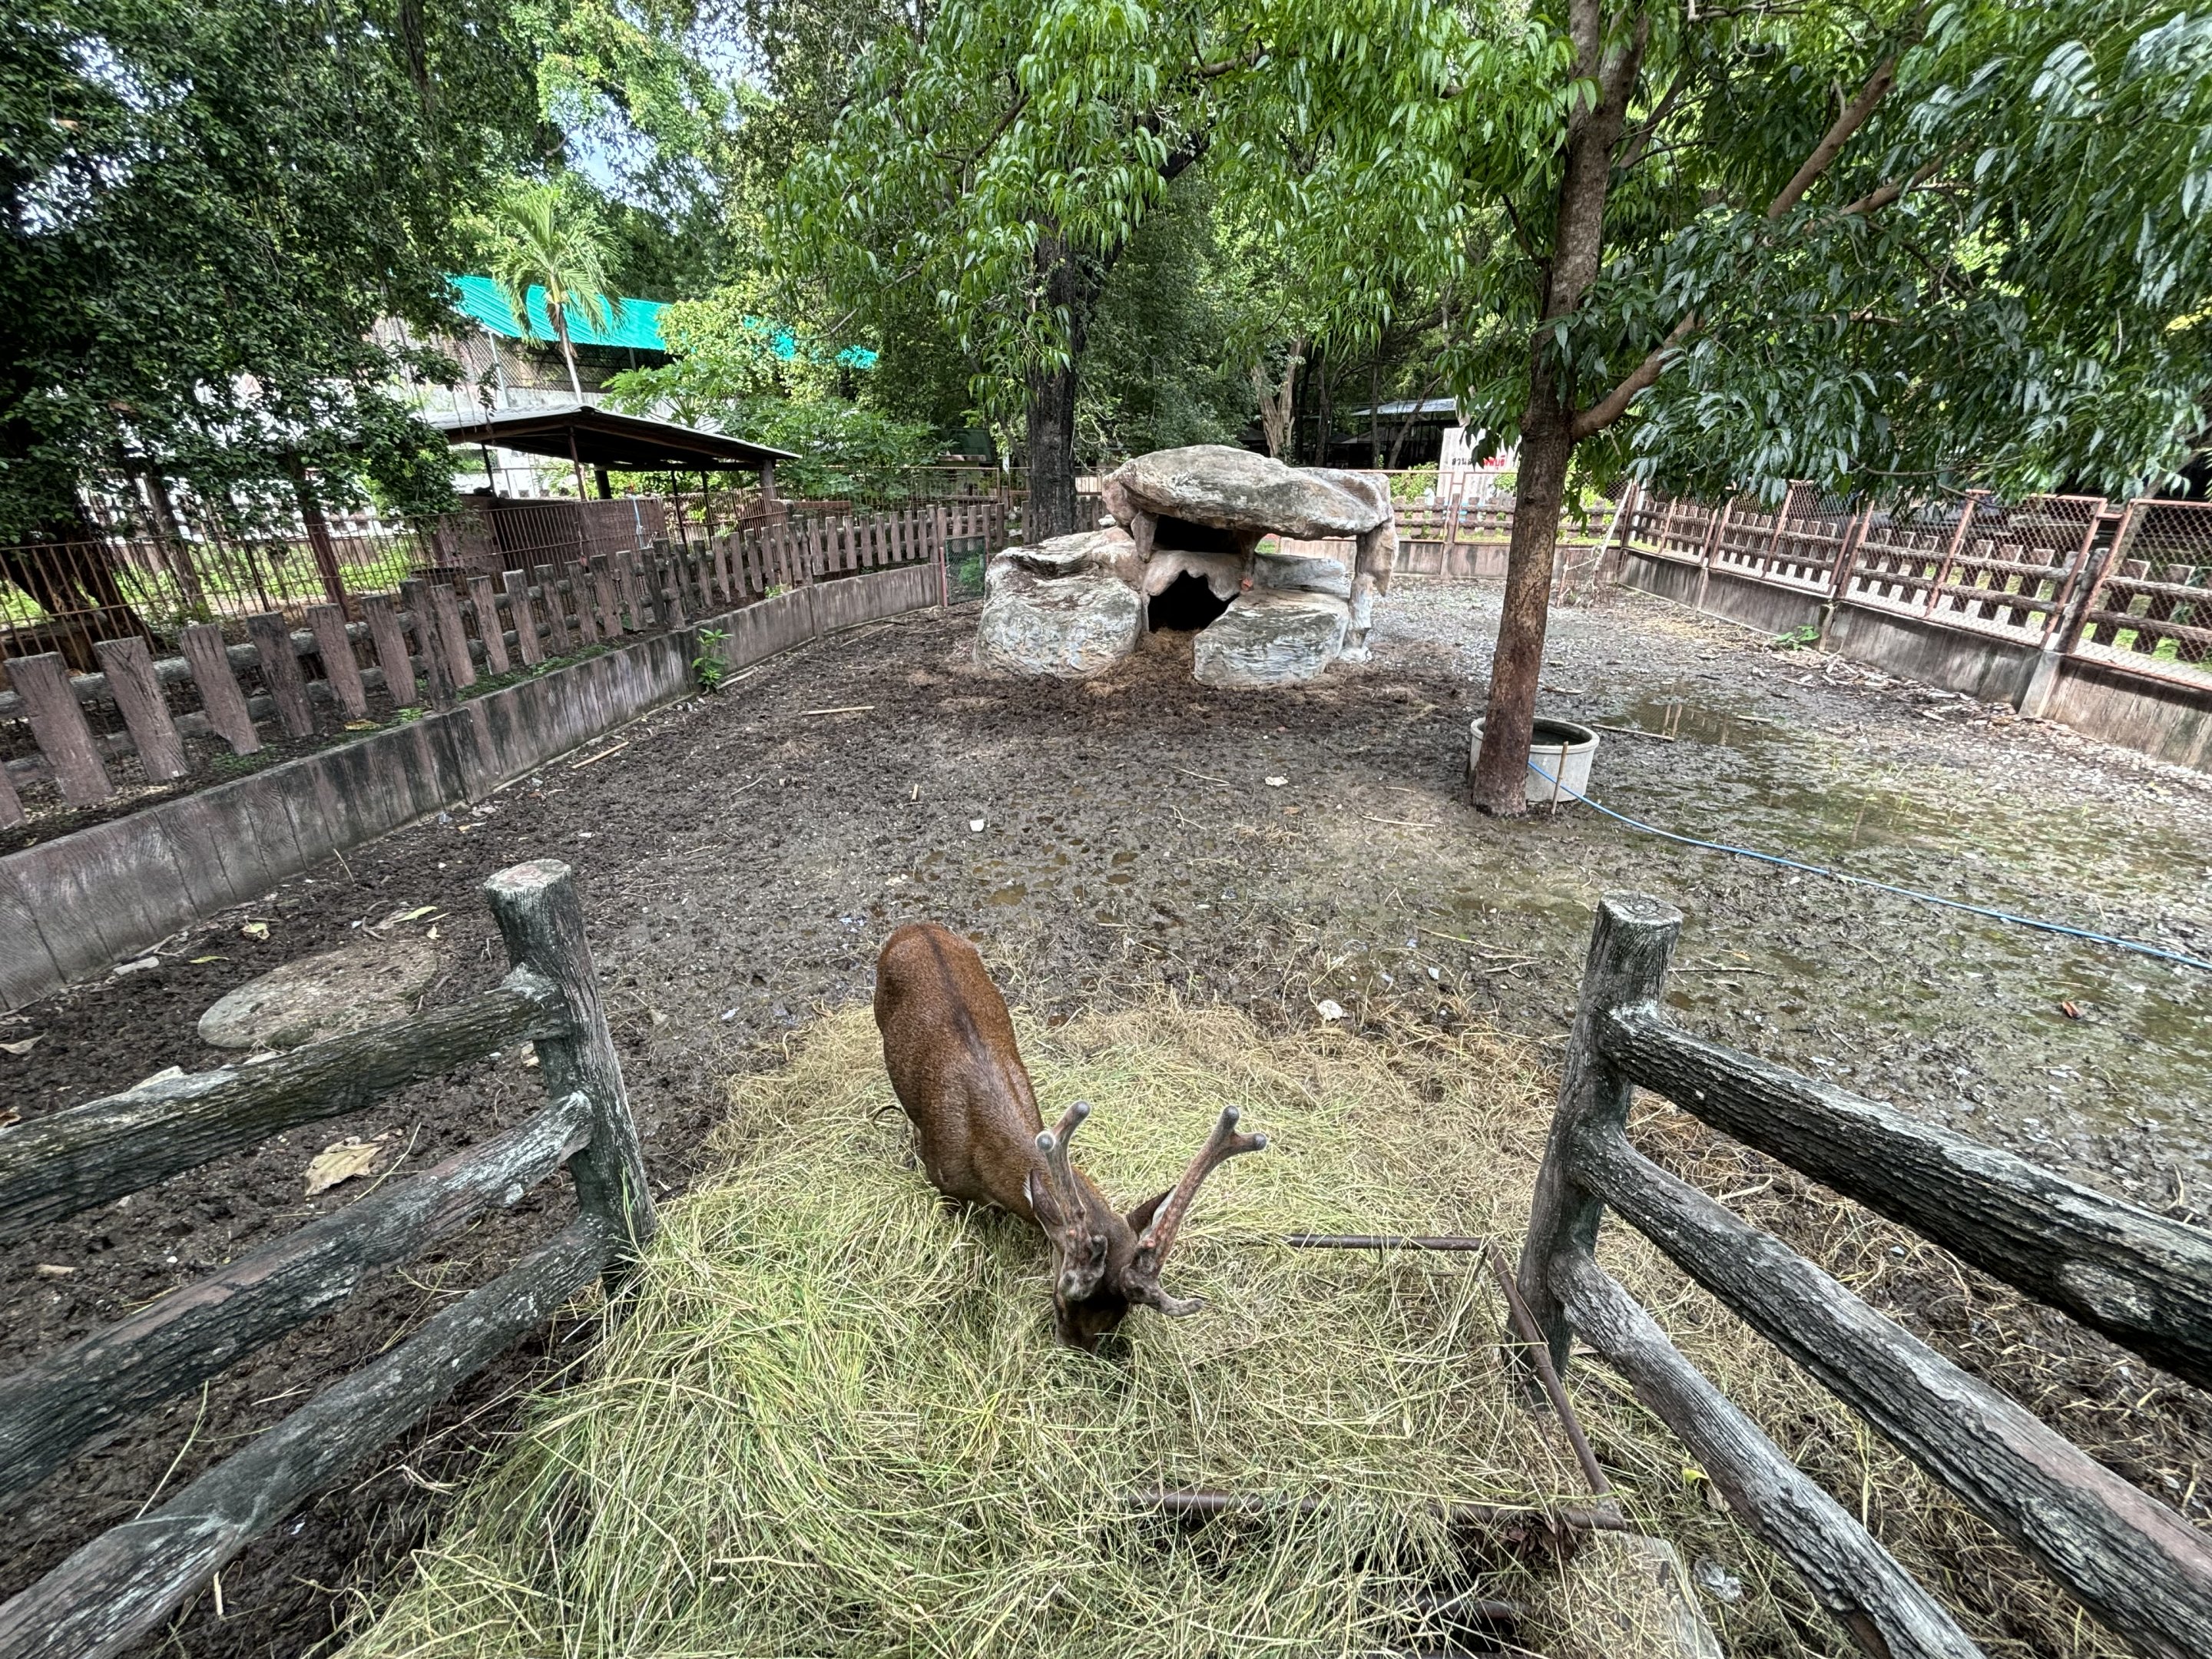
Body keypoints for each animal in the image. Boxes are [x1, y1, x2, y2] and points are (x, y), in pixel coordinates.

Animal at [874, 921, 1266, 1350]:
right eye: (1060, 1299)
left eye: (1119, 1314)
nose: (1078, 1349)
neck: (981, 1154)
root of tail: (917, 927)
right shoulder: (943, 1182)